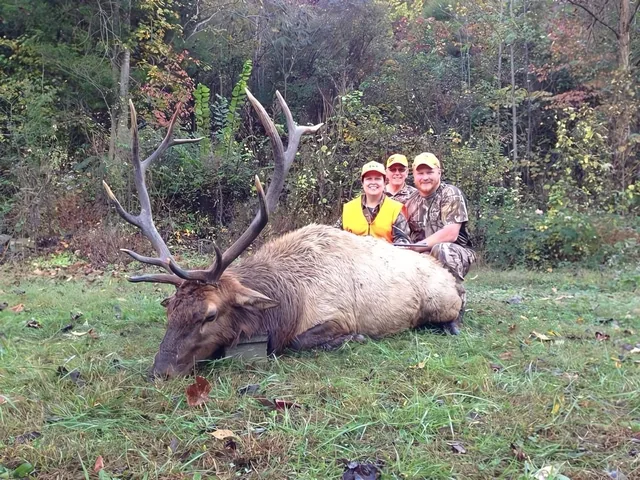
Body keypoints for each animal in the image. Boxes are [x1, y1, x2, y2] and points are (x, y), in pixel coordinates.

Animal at [103, 90, 464, 378]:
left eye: (210, 315)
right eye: (170, 310)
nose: (159, 370)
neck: (286, 305)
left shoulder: (337, 315)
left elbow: (301, 341)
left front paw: (357, 338)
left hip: (442, 300)